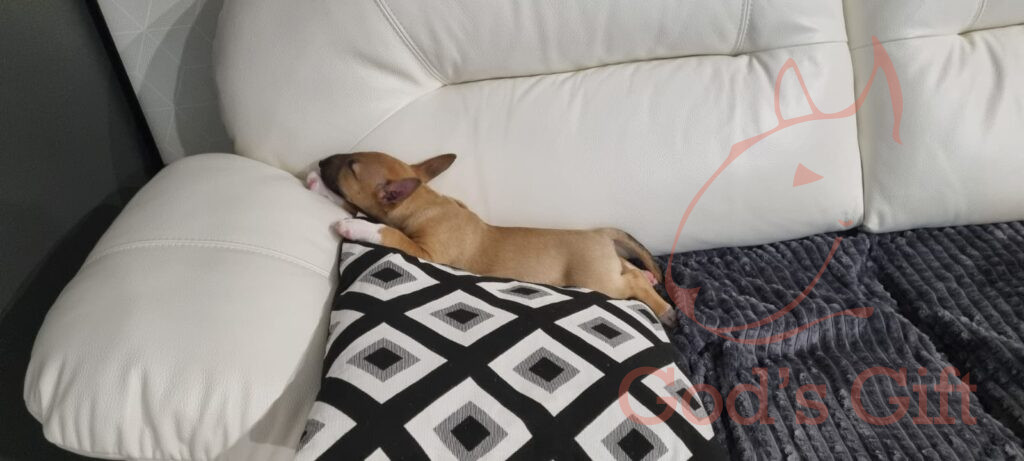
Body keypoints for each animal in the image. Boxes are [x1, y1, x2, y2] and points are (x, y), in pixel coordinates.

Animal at [309, 152, 677, 325]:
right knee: (631, 267)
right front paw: (316, 187)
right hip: (609, 264)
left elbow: (386, 231)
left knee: (632, 284)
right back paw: (647, 277)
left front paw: (352, 227)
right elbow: (354, 207)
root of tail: (599, 233)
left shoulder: (427, 251)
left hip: (599, 281)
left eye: (351, 166)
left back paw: (663, 309)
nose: (321, 161)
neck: (425, 201)